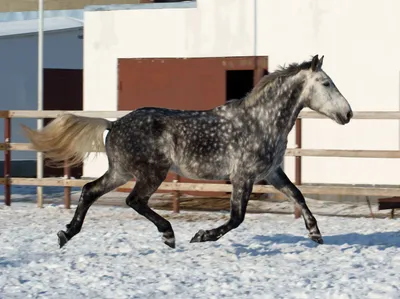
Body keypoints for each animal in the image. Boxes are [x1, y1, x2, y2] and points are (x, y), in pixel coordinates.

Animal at [23, 55, 352, 250]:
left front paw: (315, 234)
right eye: (326, 83)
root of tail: (113, 123)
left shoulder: (270, 172)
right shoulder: (243, 176)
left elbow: (298, 195)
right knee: (134, 200)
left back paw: (66, 233)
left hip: (121, 171)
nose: (347, 114)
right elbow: (237, 217)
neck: (261, 121)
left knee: (90, 190)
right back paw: (168, 234)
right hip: (150, 173)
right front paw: (202, 235)